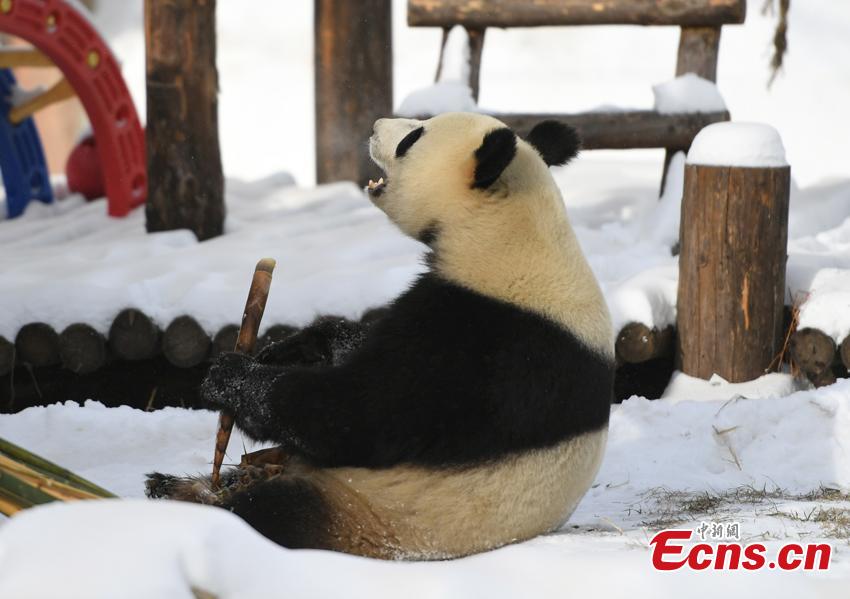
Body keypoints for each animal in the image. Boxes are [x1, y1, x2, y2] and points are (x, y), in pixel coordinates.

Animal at [146, 112, 615, 560]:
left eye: (413, 138)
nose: (374, 126)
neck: (508, 234)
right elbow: (354, 350)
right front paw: (296, 347)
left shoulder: (488, 343)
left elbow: (362, 415)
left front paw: (231, 377)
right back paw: (171, 484)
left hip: (370, 516)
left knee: (272, 514)